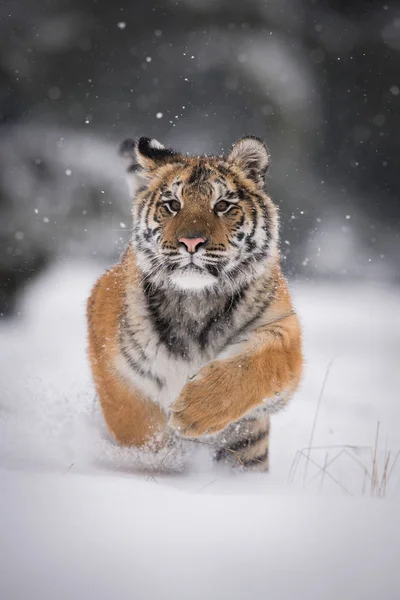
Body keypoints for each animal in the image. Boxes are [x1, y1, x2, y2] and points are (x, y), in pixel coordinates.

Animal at [86, 135, 302, 468]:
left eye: (222, 205)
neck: (196, 301)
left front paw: (191, 413)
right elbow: (135, 421)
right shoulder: (107, 349)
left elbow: (257, 364)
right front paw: (160, 459)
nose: (190, 242)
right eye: (173, 205)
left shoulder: (284, 326)